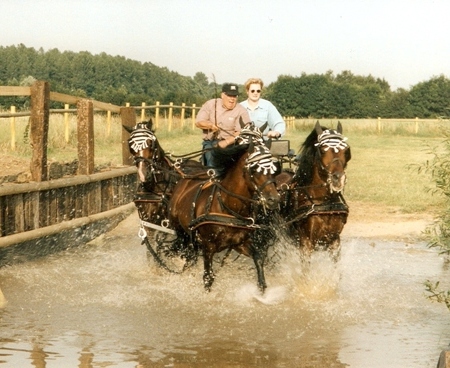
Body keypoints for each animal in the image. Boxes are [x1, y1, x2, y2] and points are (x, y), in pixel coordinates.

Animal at [167, 125, 280, 292]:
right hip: (181, 232)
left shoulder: (239, 243)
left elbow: (258, 258)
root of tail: (185, 178)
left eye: (274, 169)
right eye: (254, 169)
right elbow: (208, 278)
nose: (274, 199)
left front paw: (262, 288)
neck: (227, 208)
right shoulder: (207, 247)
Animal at [278, 121, 352, 258]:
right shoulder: (306, 243)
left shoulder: (334, 241)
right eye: (322, 150)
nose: (338, 179)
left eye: (346, 150)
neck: (324, 202)